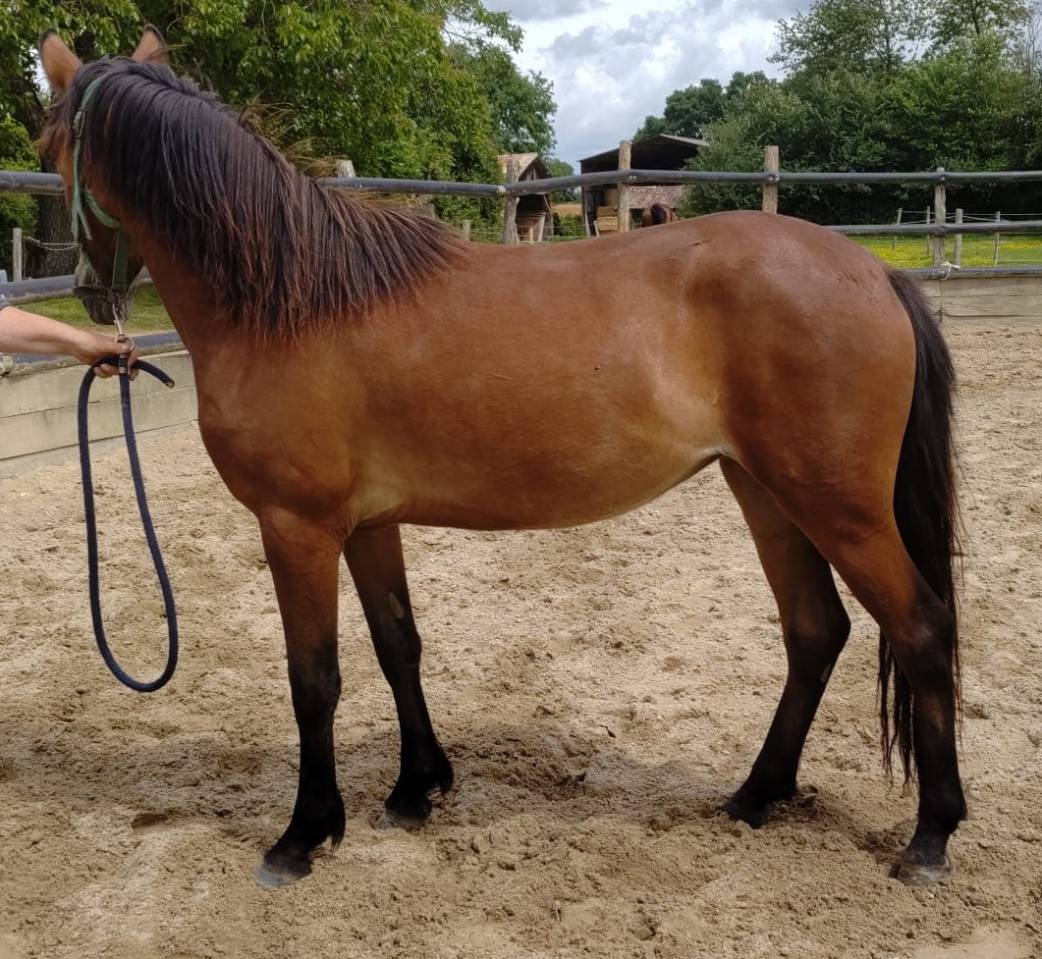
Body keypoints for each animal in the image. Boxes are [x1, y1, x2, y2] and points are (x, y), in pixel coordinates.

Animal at [38, 29, 965, 889]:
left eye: (50, 153)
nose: (83, 287)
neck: (289, 303)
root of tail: (875, 273)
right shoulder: (366, 524)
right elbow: (397, 644)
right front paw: (415, 789)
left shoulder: (295, 527)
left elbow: (315, 678)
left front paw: (303, 835)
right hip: (767, 492)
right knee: (816, 631)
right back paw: (754, 796)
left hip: (838, 505)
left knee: (919, 627)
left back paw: (930, 837)